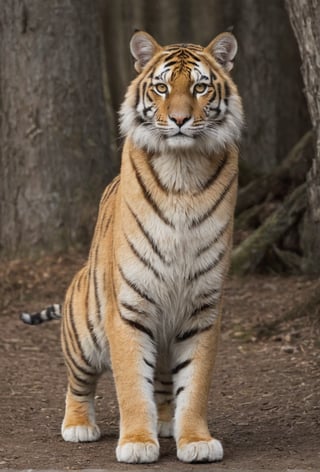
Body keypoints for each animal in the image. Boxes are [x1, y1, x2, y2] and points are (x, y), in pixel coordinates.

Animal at [21, 30, 244, 464]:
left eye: (200, 87)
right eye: (161, 87)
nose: (179, 120)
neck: (183, 168)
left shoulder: (203, 307)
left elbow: (194, 384)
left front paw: (195, 440)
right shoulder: (127, 306)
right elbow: (130, 385)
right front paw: (138, 443)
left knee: (163, 384)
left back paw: (166, 422)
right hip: (84, 331)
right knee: (77, 383)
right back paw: (78, 426)